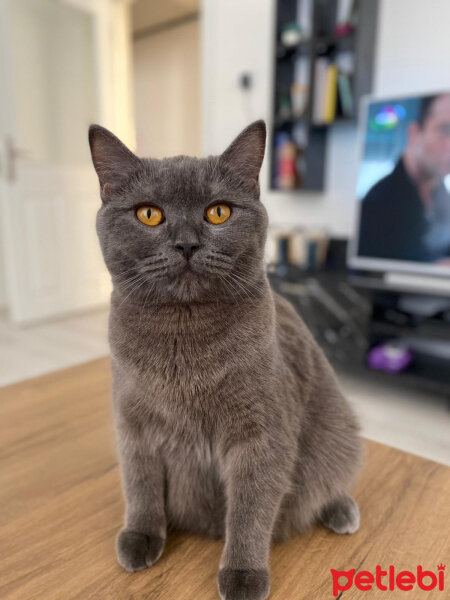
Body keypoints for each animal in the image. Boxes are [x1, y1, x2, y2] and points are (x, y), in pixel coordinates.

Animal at [89, 122, 362, 600]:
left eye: (218, 212)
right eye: (149, 214)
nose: (186, 244)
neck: (183, 340)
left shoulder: (262, 435)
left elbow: (250, 510)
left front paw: (242, 574)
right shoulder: (133, 423)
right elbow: (139, 485)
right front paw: (141, 536)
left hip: (338, 425)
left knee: (327, 480)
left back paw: (341, 509)